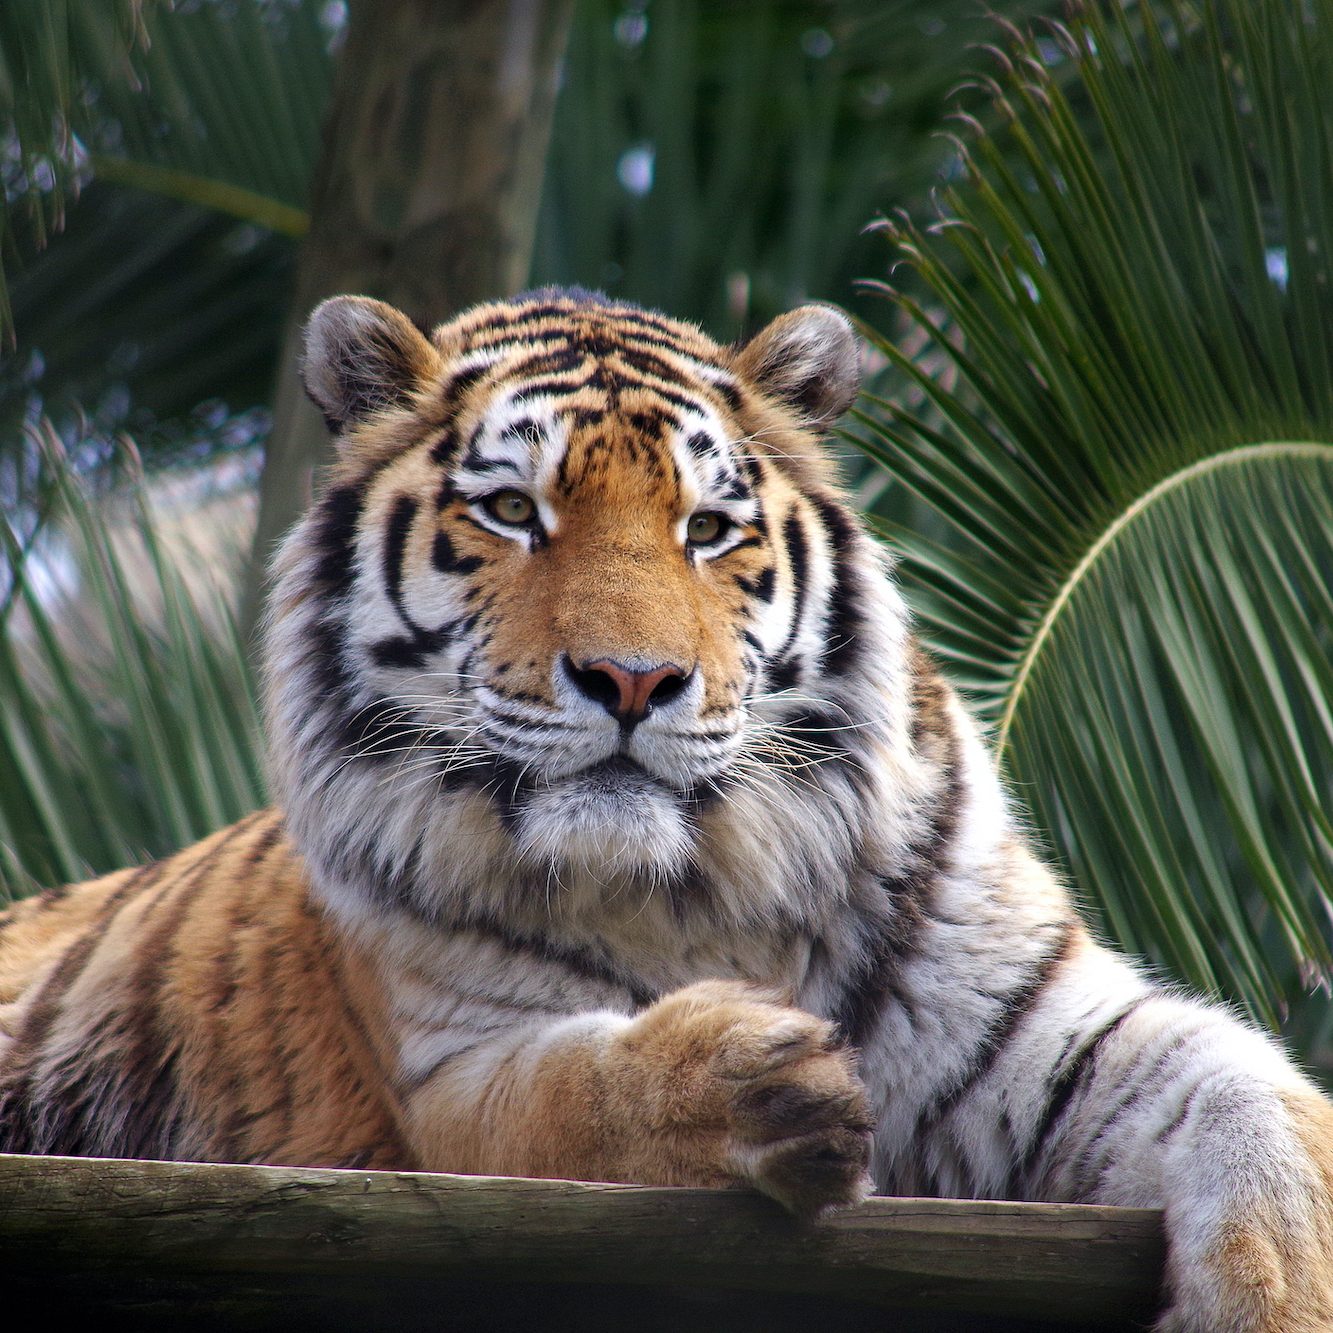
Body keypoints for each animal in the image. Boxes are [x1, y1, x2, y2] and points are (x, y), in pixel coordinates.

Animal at [0, 286, 1327, 1327]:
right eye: (511, 512)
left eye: (708, 528)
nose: (632, 680)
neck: (693, 892)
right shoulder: (446, 1085)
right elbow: (571, 1097)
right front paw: (753, 1079)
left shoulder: (1056, 1023)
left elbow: (1260, 1105)